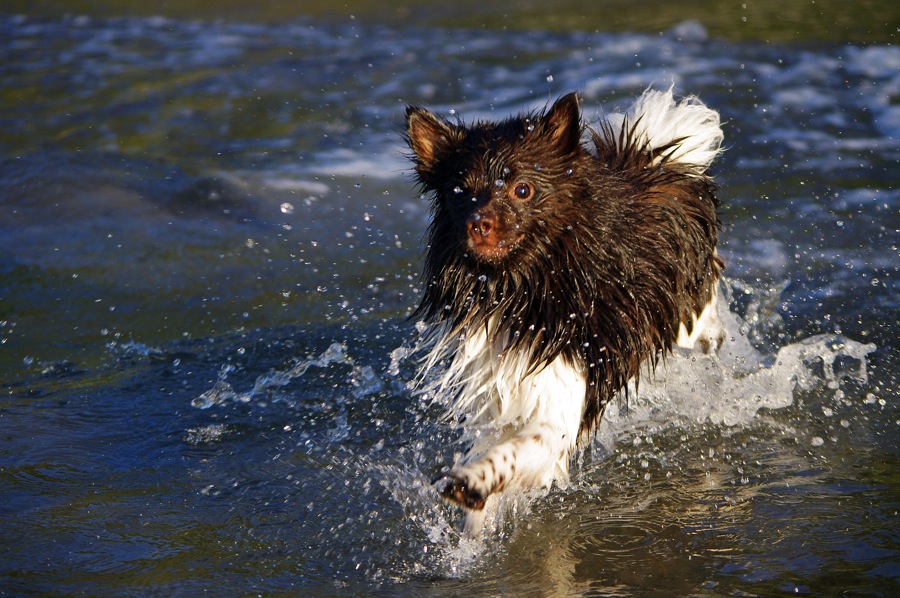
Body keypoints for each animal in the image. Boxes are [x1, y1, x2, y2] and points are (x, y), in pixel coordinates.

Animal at [404, 88, 728, 536]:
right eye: (460, 192)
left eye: (522, 190)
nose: (478, 223)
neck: (519, 285)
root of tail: (653, 159)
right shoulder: (495, 394)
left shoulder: (559, 402)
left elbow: (513, 452)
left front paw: (472, 482)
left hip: (688, 310)